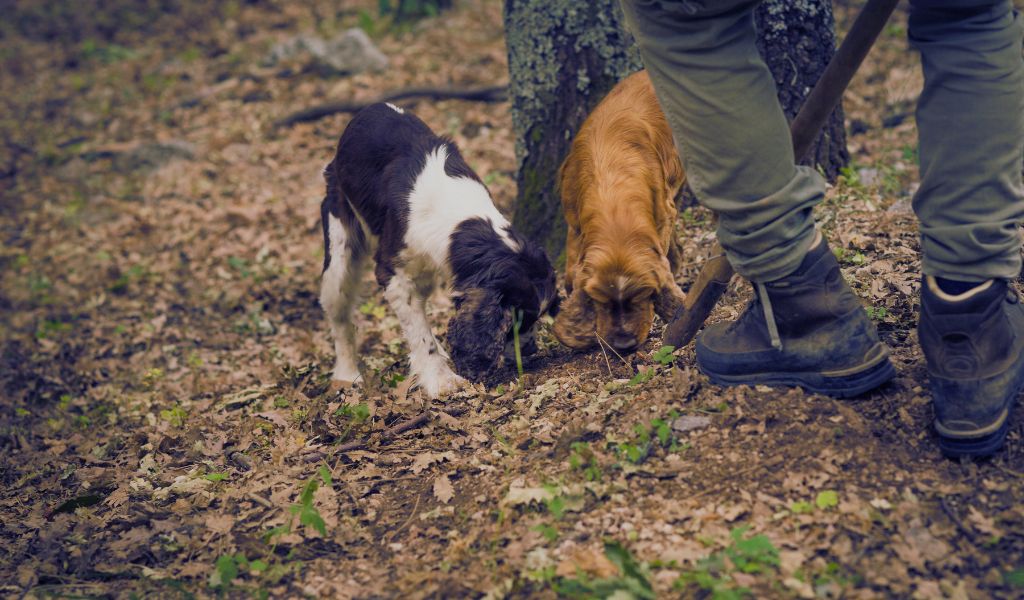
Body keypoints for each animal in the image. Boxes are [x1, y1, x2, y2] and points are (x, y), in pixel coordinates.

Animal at [321, 102, 557, 397]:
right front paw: (441, 380)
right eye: (519, 319)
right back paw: (346, 374)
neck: (457, 213)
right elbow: (421, 335)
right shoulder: (394, 273)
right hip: (340, 251)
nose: (531, 350)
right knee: (339, 313)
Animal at [552, 70, 688, 352]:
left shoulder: (662, 213)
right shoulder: (573, 223)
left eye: (643, 294)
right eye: (600, 300)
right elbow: (571, 275)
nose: (624, 344)